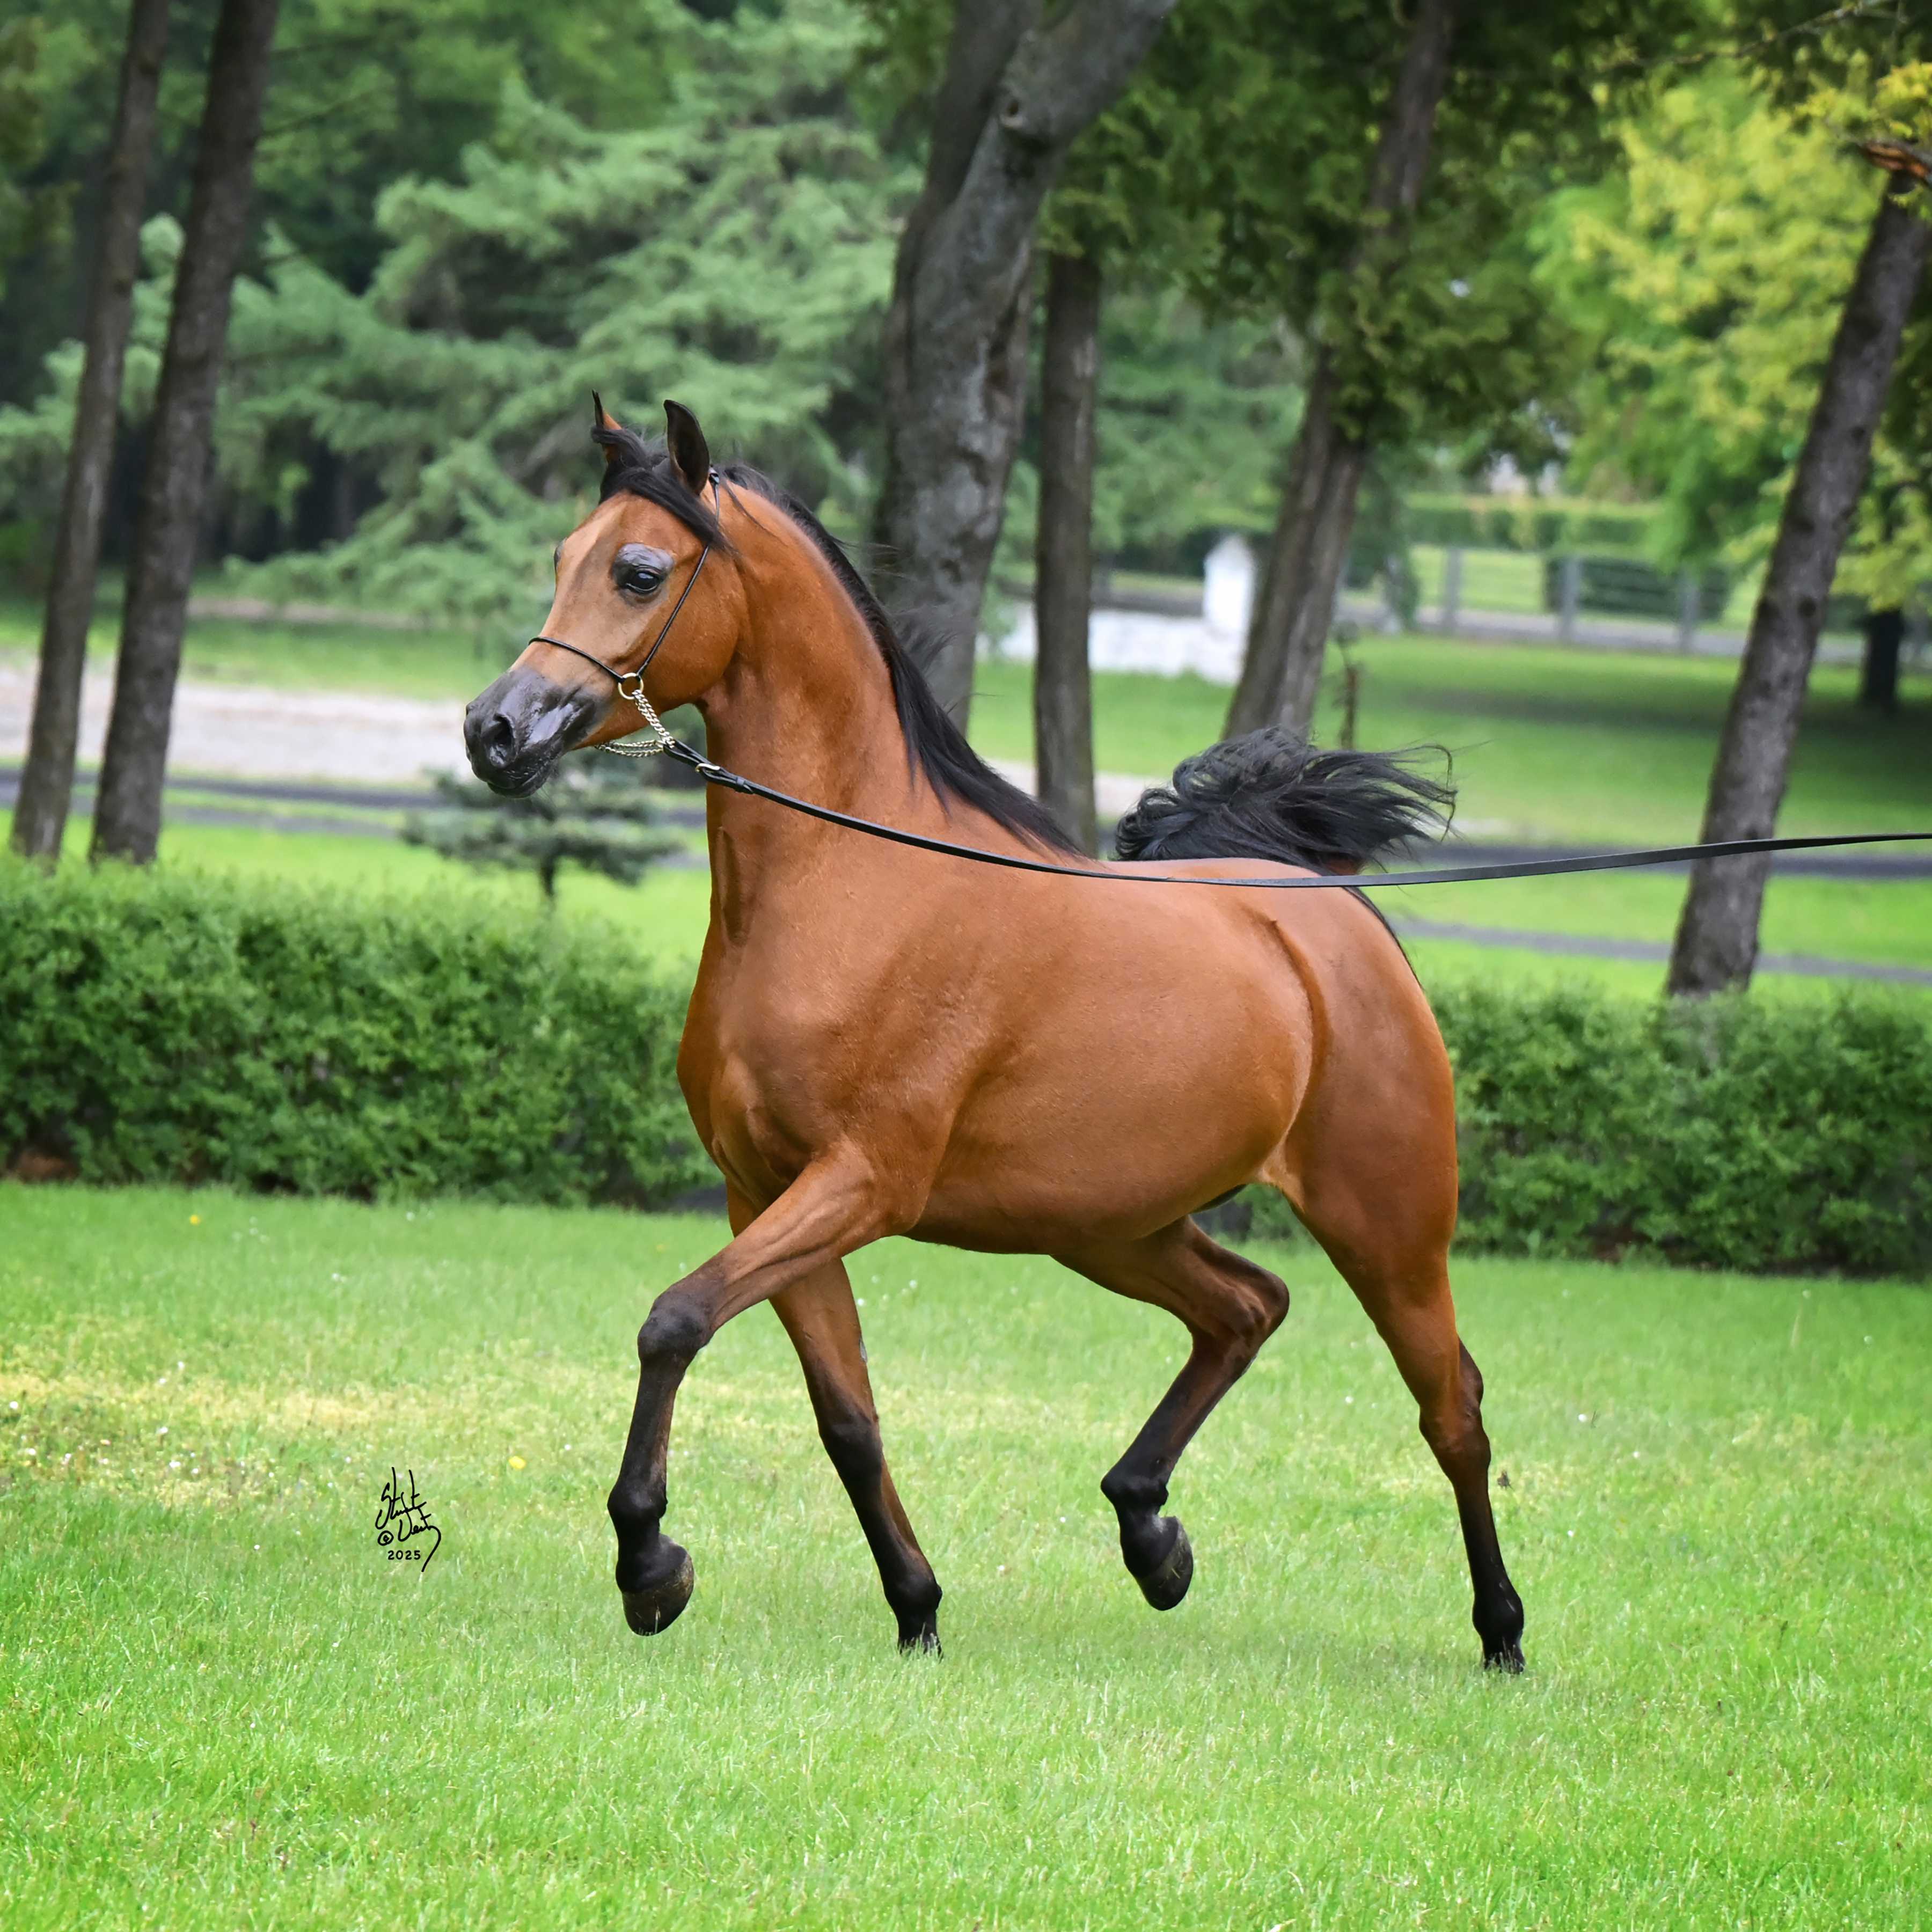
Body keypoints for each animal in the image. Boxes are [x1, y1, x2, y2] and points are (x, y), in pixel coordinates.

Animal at [463, 398, 1526, 1672]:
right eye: (561, 558)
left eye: (637, 570)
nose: (494, 730)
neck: (849, 891)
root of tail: (1329, 917)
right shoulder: (762, 1193)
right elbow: (847, 1417)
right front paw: (917, 1609)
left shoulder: (860, 1183)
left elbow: (673, 1324)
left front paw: (650, 1565)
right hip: (1112, 1226)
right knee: (1248, 1307)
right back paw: (1151, 1537)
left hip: (1390, 1230)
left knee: (1452, 1409)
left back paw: (1502, 1634)